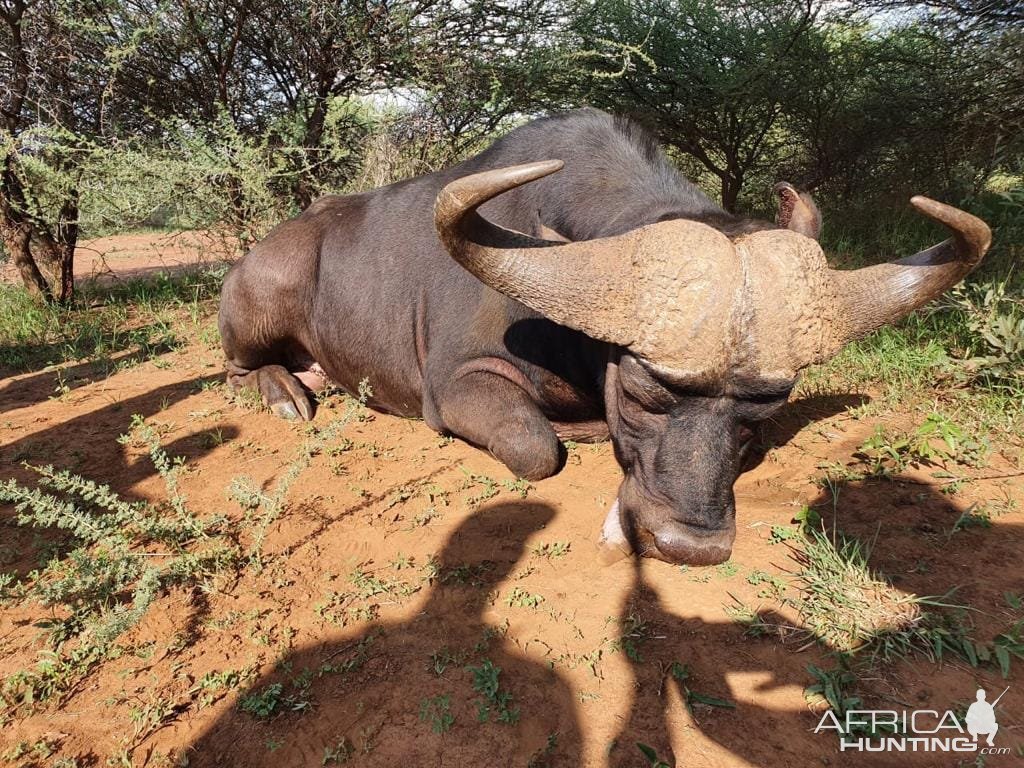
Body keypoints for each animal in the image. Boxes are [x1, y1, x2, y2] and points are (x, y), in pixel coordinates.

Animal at [218, 108, 991, 565]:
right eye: (644, 393)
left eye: (764, 409)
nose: (689, 546)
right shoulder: (458, 384)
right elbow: (538, 449)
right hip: (263, 298)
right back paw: (283, 391)